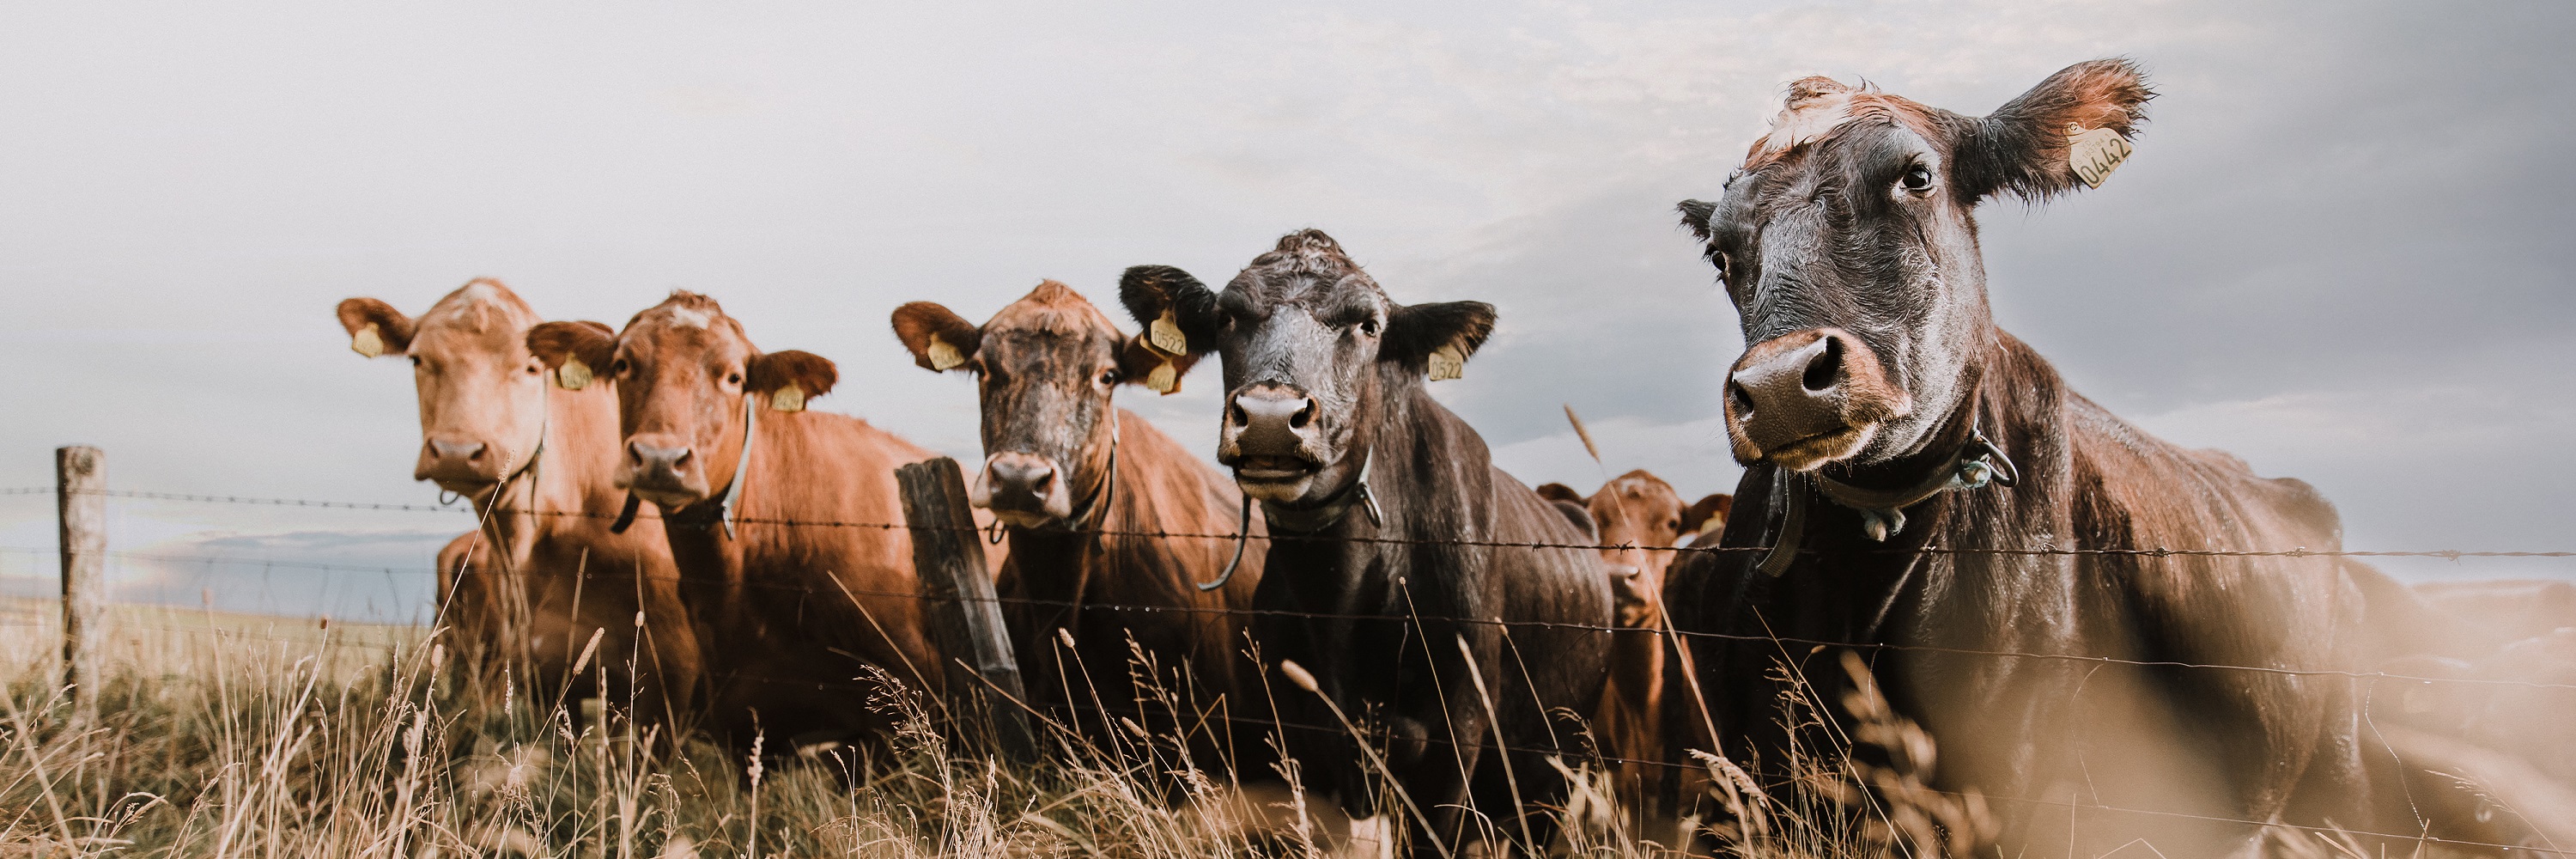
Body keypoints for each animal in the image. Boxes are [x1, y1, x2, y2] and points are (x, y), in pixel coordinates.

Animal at [1119, 230, 1614, 855]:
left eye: (1370, 325)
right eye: (1226, 316)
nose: (1270, 418)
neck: (1343, 598)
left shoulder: (1454, 745)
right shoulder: (1299, 750)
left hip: (1555, 772)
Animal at [1661, 61, 2438, 855]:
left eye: (1915, 176)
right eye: (1720, 252)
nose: (1781, 384)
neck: (1856, 580)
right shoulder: (1743, 790)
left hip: (2339, 783)